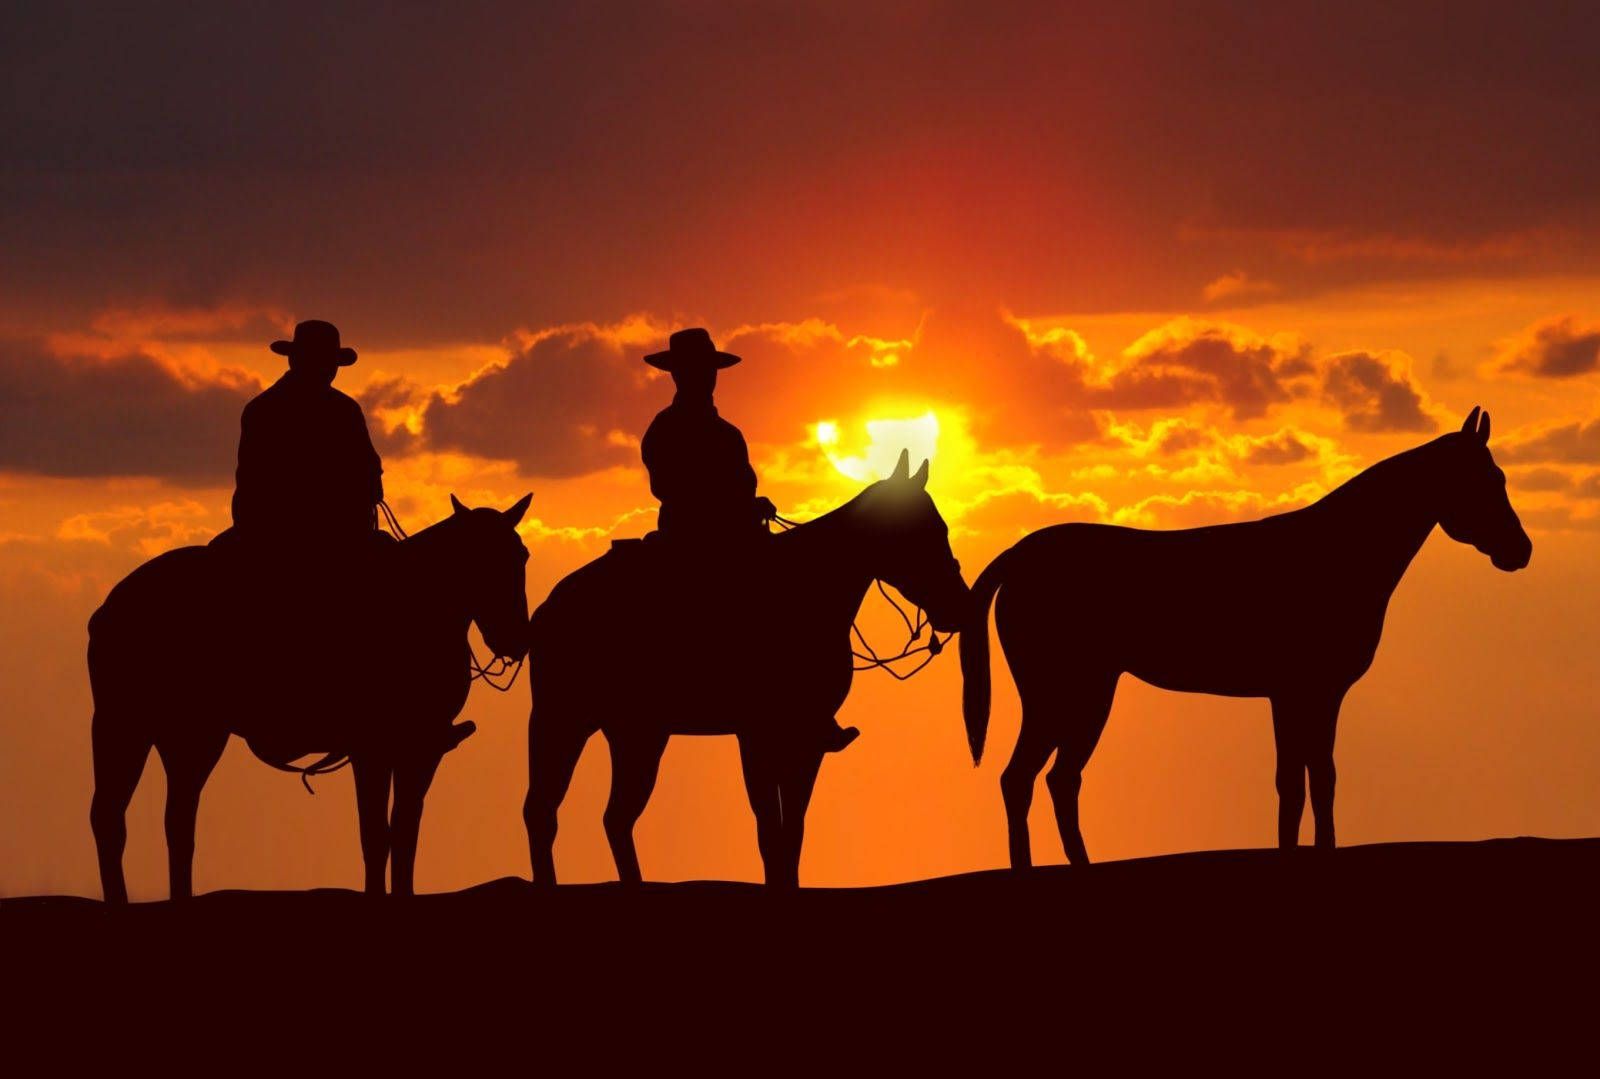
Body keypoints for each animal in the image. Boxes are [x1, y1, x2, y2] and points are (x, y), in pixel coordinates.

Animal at [89, 496, 531, 896]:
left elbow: (405, 834)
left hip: (189, 738)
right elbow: (376, 835)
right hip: (125, 725)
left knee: (177, 820)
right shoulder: (372, 749)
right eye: (481, 560)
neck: (421, 612)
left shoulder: (421, 749)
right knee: (111, 817)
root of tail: (109, 607)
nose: (516, 639)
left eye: (522, 556)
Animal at [531, 448, 966, 883]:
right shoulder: (758, 734)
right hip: (563, 720)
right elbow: (770, 833)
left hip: (638, 735)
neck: (810, 592)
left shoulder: (805, 740)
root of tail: (549, 606)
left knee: (615, 818)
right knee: (543, 812)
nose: (957, 605)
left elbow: (792, 835)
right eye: (922, 530)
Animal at [953, 408, 1529, 870]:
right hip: (1062, 692)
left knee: (1056, 779)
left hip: (1084, 694)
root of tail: (1020, 556)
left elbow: (1306, 778)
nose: (1520, 551)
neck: (1341, 553)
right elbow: (1308, 777)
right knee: (1024, 778)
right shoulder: (1305, 691)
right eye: (1483, 479)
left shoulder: (1302, 695)